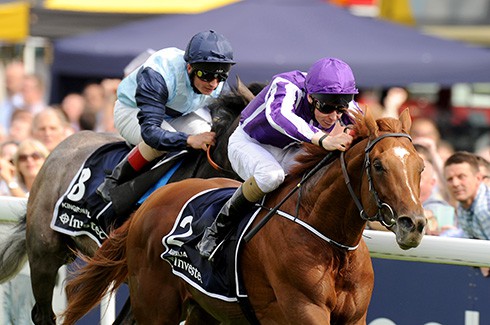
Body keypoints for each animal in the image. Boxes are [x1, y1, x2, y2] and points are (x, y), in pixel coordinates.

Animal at [63, 107, 426, 322]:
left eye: (420, 166)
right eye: (378, 165)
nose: (414, 225)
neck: (330, 242)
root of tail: (153, 202)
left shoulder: (354, 316)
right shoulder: (305, 311)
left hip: (206, 308)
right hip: (155, 305)